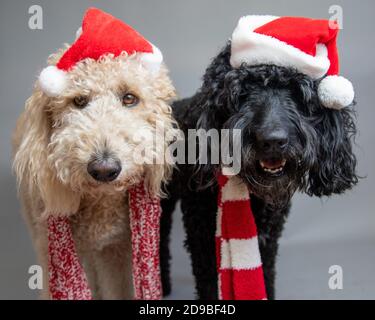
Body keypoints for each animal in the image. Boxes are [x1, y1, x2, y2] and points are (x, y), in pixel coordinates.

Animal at [13, 7, 178, 298]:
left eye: (129, 98)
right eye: (78, 100)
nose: (104, 169)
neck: (100, 204)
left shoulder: (116, 249)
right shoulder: (53, 249)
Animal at [160, 38, 360, 298]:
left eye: (297, 92)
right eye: (242, 91)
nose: (273, 140)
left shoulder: (269, 232)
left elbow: (266, 272)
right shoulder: (201, 233)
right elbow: (209, 283)